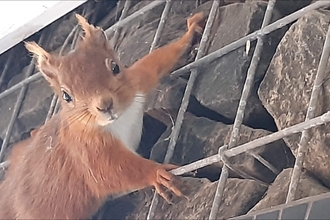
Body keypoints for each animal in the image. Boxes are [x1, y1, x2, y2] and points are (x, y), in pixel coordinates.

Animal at [0, 13, 204, 218]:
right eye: (66, 96)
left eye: (115, 67)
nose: (105, 105)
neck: (120, 119)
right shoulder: (86, 151)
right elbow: (108, 174)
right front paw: (157, 173)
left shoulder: (137, 82)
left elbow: (157, 60)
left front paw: (189, 33)